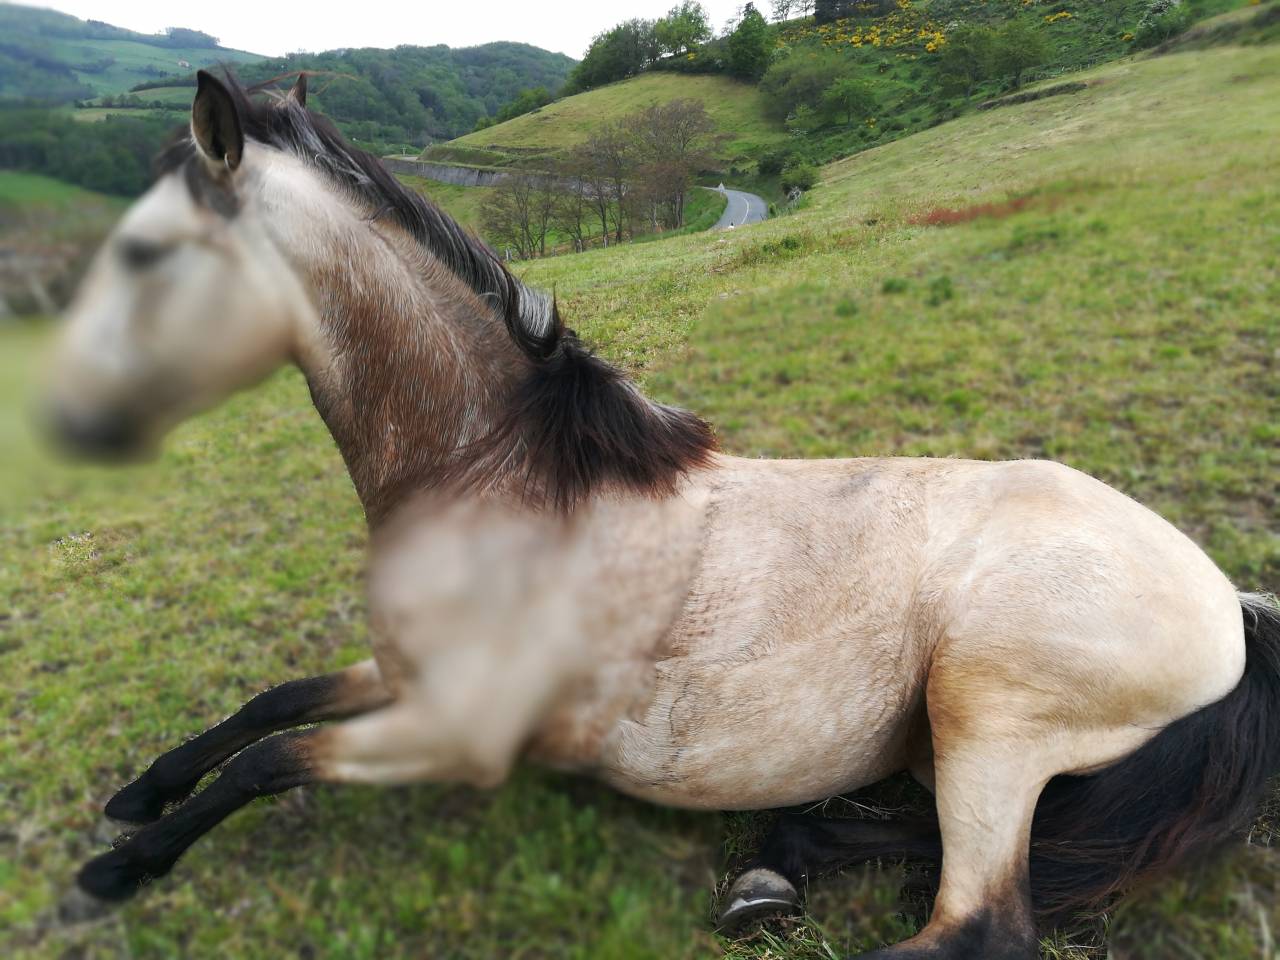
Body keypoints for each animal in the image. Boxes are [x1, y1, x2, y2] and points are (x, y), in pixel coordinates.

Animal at [45, 71, 1280, 959]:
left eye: (143, 252)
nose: (68, 424)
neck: (503, 482)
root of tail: (1231, 606)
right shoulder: (403, 677)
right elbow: (272, 704)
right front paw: (140, 793)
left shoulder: (455, 732)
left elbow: (271, 759)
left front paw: (116, 870)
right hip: (943, 746)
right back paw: (772, 866)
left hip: (984, 712)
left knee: (979, 930)